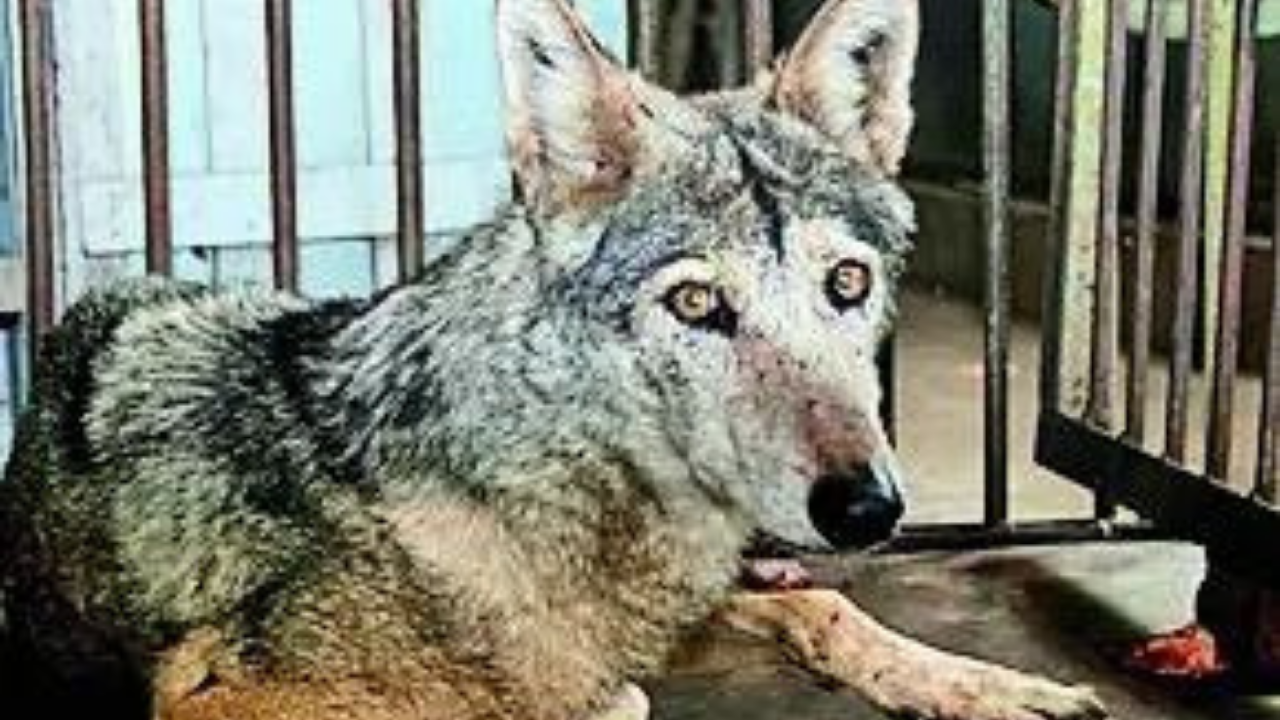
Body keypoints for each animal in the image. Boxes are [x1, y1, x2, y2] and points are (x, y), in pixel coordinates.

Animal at [0, 0, 1108, 718]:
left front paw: (992, 687)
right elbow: (600, 700)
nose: (867, 509)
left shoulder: (666, 614)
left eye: (846, 282)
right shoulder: (219, 699)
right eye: (697, 302)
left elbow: (826, 608)